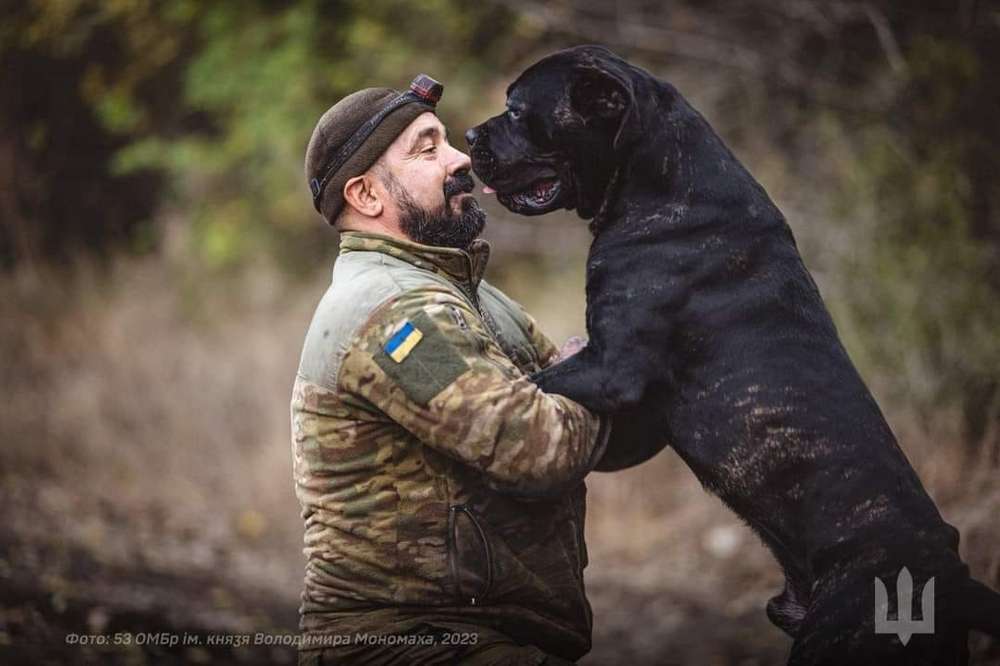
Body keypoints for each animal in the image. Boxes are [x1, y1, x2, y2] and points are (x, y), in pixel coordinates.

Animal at [466, 44, 1000, 660]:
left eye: (516, 110)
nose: (470, 132)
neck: (657, 182)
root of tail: (954, 580)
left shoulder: (610, 368)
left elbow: (531, 386)